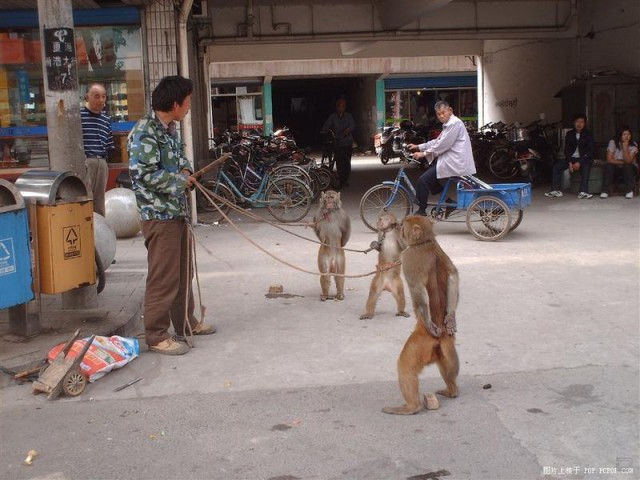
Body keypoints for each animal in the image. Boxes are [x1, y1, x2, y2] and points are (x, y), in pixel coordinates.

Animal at [380, 216, 460, 414]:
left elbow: (418, 289)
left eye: (403, 227)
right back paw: (451, 391)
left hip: (424, 341)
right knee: (445, 362)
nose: (398, 228)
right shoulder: (439, 250)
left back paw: (411, 407)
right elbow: (453, 275)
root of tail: (442, 335)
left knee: (405, 365)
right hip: (440, 345)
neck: (425, 242)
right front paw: (451, 316)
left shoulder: (408, 256)